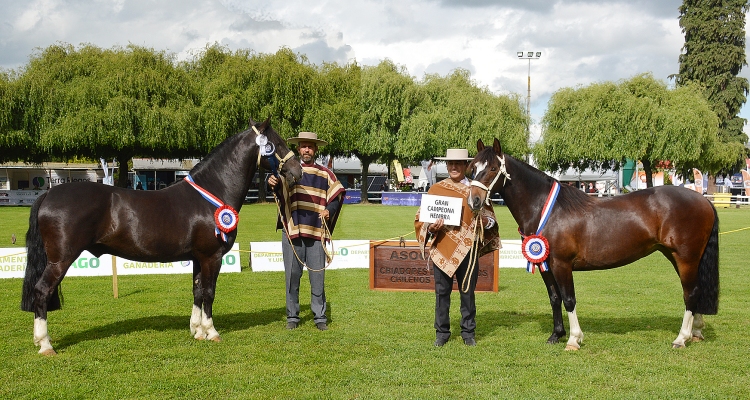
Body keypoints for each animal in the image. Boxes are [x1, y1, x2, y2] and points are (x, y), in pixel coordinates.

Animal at [21, 117, 302, 354]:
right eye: (277, 144)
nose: (297, 171)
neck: (212, 192)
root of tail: (49, 194)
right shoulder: (212, 257)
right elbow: (209, 293)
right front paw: (212, 332)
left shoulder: (198, 258)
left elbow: (197, 291)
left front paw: (197, 331)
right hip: (60, 261)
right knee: (42, 291)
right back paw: (45, 345)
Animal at [470, 138, 724, 350]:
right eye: (472, 168)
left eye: (493, 169)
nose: (474, 200)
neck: (547, 209)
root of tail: (702, 199)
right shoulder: (545, 265)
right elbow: (555, 298)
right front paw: (556, 335)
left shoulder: (562, 264)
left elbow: (569, 299)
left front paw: (573, 339)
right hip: (680, 257)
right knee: (696, 291)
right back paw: (696, 333)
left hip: (686, 258)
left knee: (690, 293)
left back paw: (681, 338)